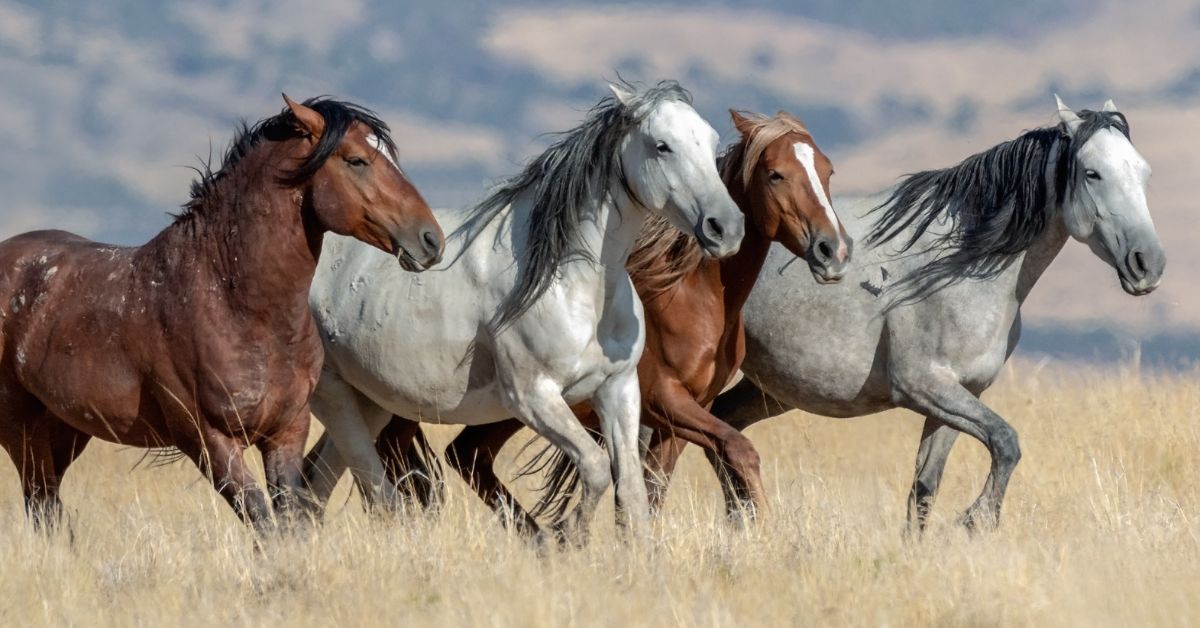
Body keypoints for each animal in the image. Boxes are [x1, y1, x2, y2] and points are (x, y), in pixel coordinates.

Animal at [0, 96, 446, 533]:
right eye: (356, 160)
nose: (431, 240)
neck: (236, 306)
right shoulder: (208, 439)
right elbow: (261, 520)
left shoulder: (286, 431)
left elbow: (289, 521)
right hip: (23, 430)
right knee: (40, 504)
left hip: (66, 429)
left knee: (48, 508)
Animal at [300, 81, 744, 537]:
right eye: (662, 146)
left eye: (712, 143)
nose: (726, 227)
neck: (574, 285)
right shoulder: (534, 397)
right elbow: (595, 467)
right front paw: (567, 536)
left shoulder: (618, 389)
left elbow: (632, 492)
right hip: (335, 396)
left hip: (370, 401)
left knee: (315, 483)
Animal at [364, 108, 854, 530]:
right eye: (776, 174)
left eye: (828, 171)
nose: (834, 250)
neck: (692, 296)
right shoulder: (664, 400)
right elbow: (739, 448)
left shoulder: (682, 413)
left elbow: (651, 489)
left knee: (465, 457)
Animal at [652, 96, 1166, 533]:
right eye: (1093, 173)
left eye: (1143, 172)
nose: (1149, 264)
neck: (960, 265)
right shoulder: (924, 386)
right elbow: (1006, 441)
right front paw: (977, 520)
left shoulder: (960, 395)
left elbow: (924, 488)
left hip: (771, 389)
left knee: (725, 431)